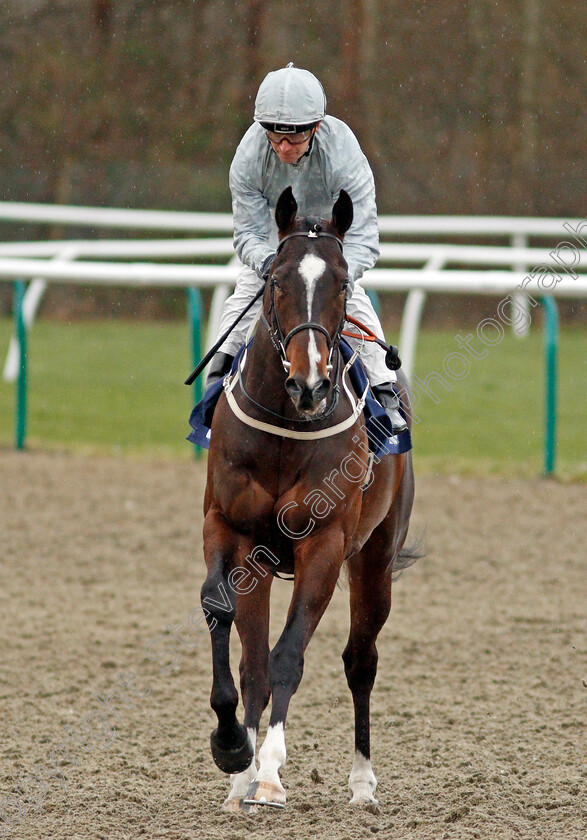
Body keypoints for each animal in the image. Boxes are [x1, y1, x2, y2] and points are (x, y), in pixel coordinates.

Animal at [200, 187, 416, 812]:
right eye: (276, 279)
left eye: (343, 283)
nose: (311, 383)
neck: (283, 429)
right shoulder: (229, 529)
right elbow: (226, 620)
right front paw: (234, 750)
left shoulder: (324, 544)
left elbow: (288, 656)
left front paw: (271, 773)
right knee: (252, 662)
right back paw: (240, 778)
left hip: (375, 560)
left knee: (361, 660)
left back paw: (363, 782)